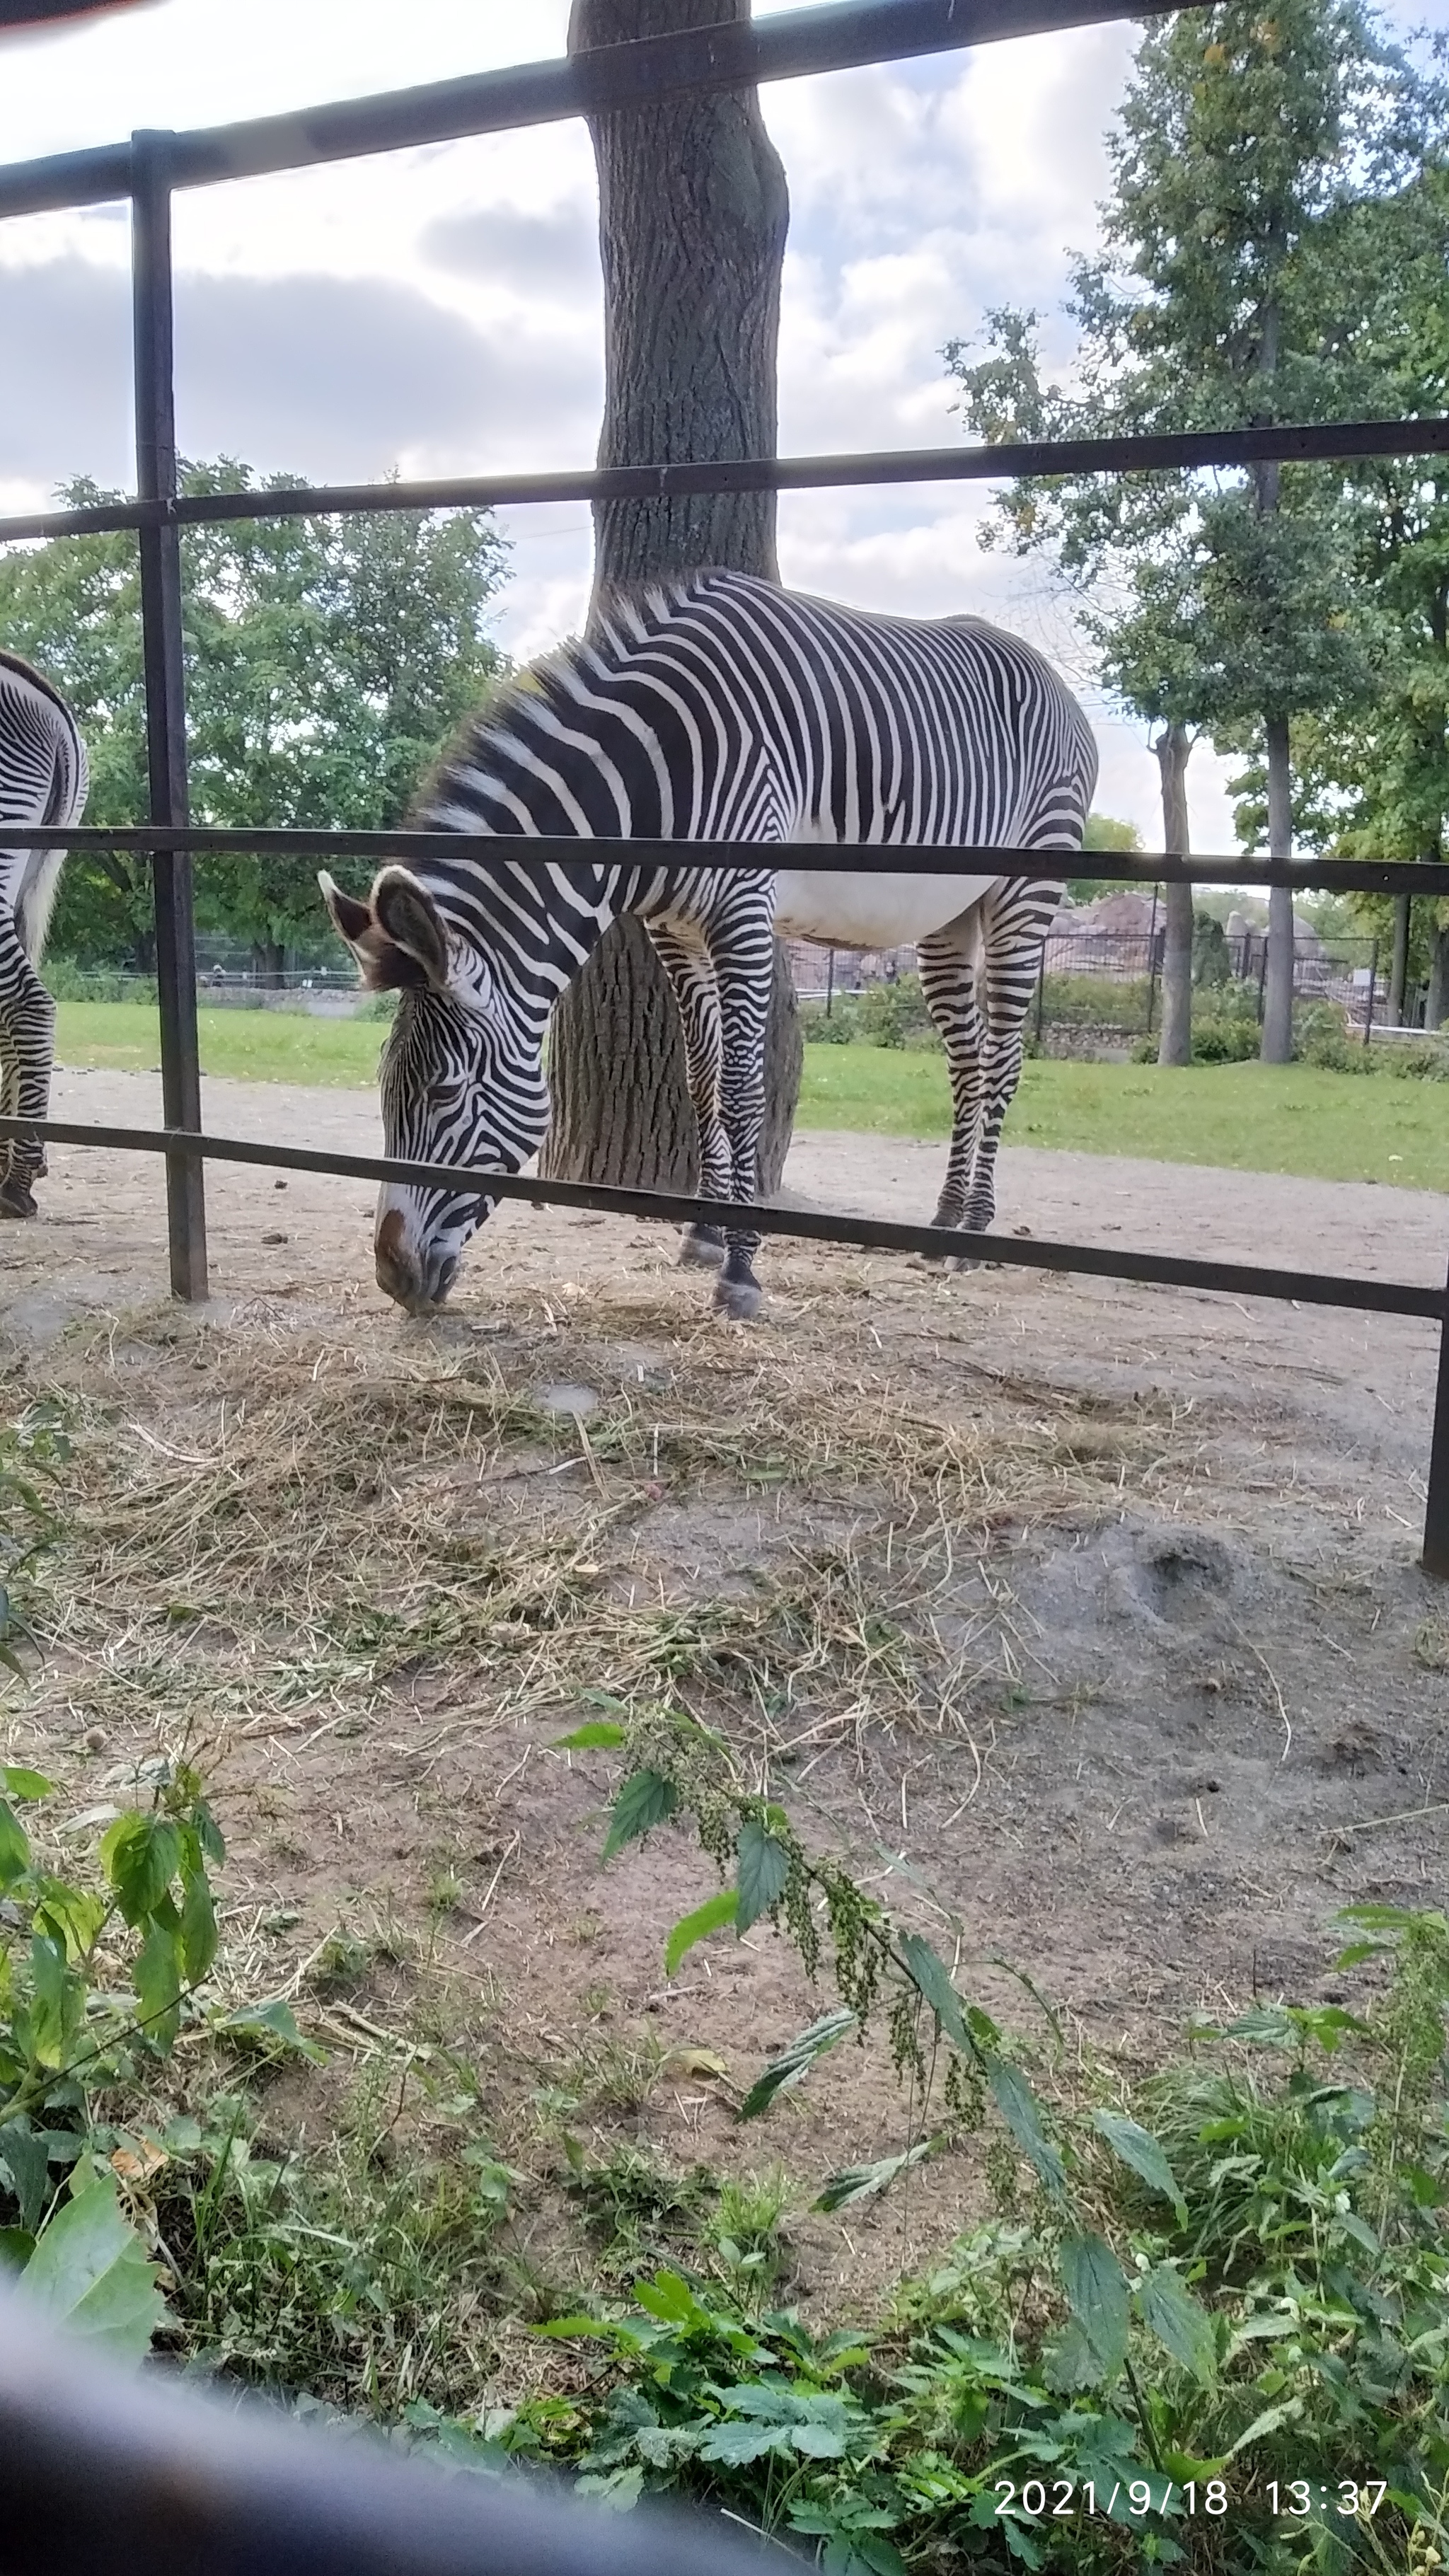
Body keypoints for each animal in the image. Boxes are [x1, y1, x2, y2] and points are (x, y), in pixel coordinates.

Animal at [318, 574, 1083, 1319]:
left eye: (445, 1091)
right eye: (386, 1084)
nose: (393, 1277)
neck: (656, 782)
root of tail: (1049, 676)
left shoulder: (742, 911)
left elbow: (742, 1088)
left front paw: (741, 1268)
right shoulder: (675, 931)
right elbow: (702, 1078)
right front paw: (703, 1233)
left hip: (1023, 894)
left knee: (1003, 1057)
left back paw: (975, 1229)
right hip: (949, 919)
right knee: (967, 1061)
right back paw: (944, 1221)